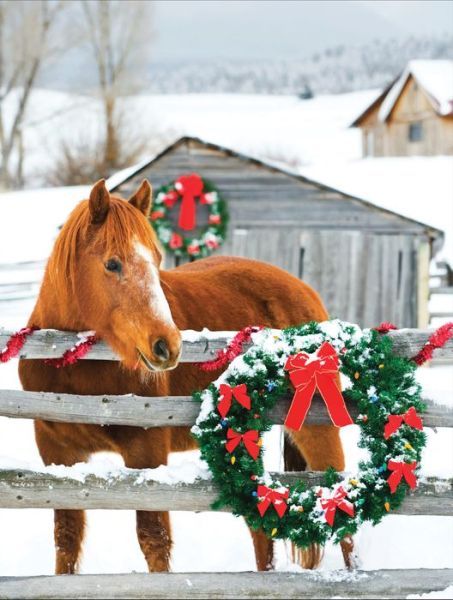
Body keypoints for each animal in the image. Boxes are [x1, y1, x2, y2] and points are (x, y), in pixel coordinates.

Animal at [18, 180, 346, 576]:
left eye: (157, 261)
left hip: (317, 431)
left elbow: (153, 539)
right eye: (112, 263)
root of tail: (304, 292)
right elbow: (66, 541)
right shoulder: (57, 455)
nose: (167, 345)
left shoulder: (146, 453)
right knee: (260, 528)